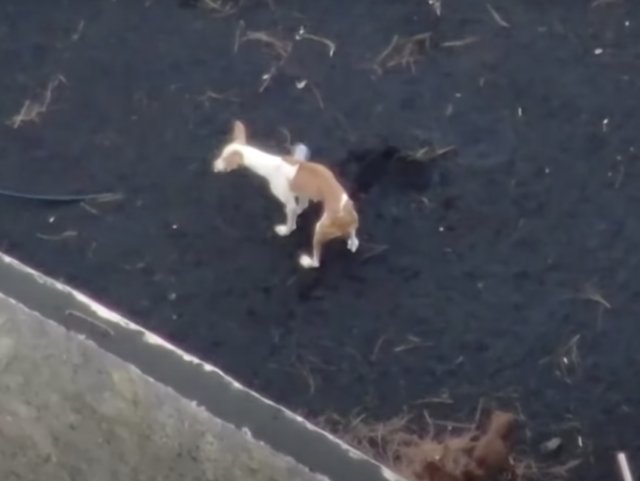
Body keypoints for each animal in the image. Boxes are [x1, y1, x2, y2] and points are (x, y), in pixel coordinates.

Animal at [211, 120, 358, 268]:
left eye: (224, 160)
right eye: (221, 154)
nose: (214, 165)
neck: (270, 164)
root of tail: (349, 217)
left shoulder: (289, 201)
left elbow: (291, 222)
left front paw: (286, 231)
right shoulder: (302, 192)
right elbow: (302, 206)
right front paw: (299, 212)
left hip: (320, 230)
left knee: (316, 262)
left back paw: (308, 262)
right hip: (347, 231)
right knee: (353, 240)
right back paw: (352, 244)